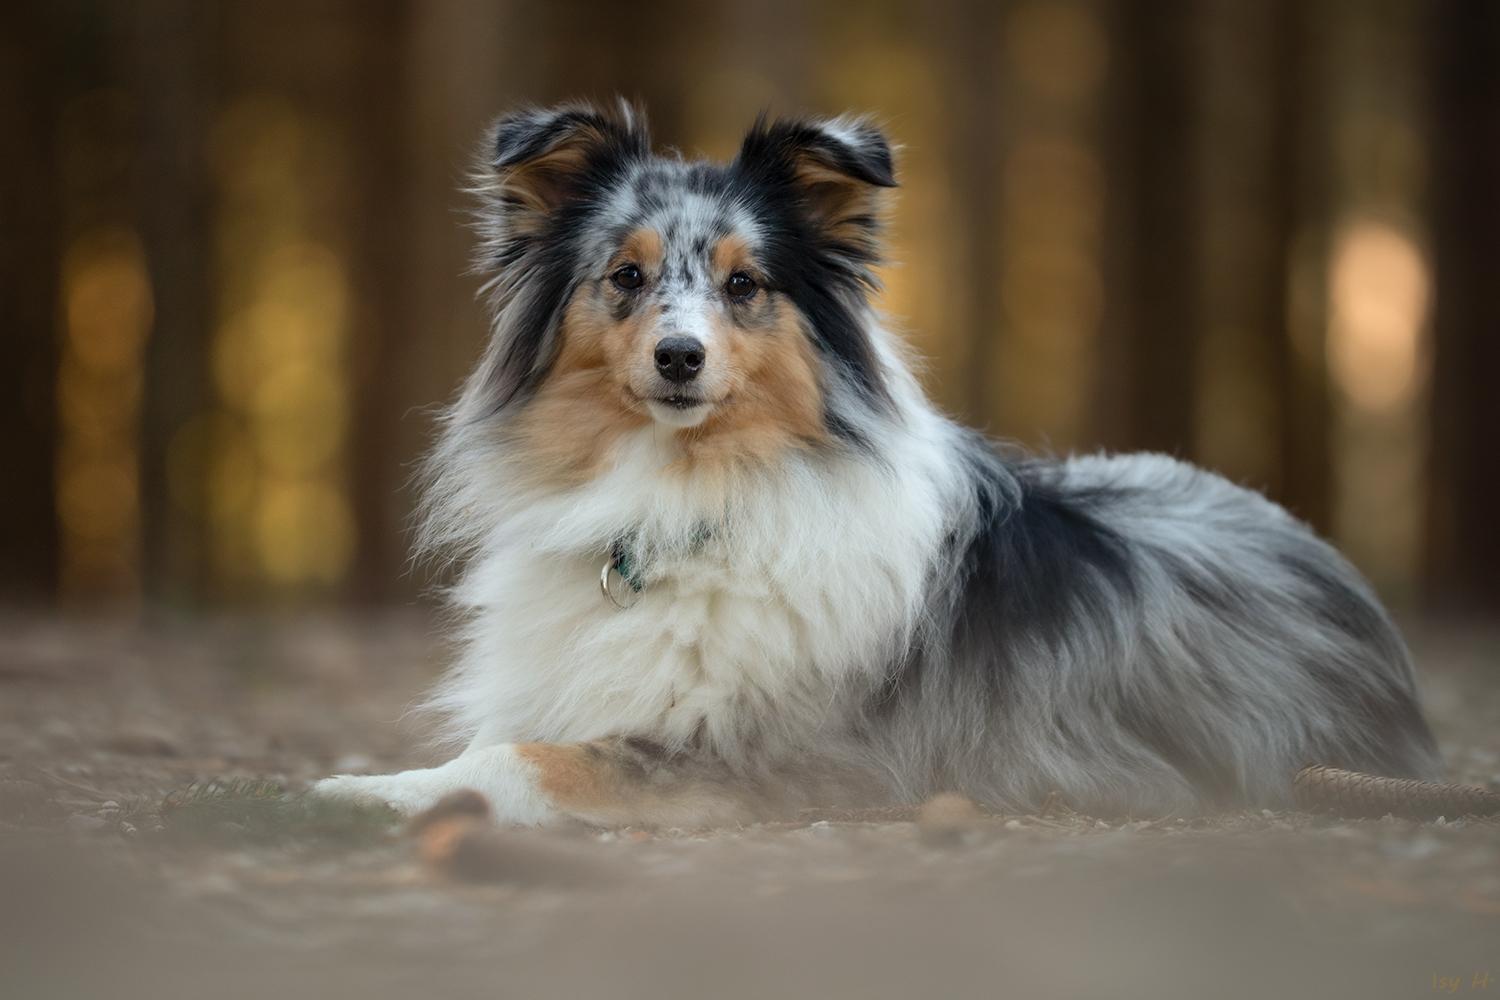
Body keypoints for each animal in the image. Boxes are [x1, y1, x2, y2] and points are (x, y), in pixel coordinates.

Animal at [307, 101, 1440, 827]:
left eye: (746, 284)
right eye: (624, 276)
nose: (680, 358)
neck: (688, 491)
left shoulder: (765, 756)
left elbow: (524, 760)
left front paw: (360, 792)